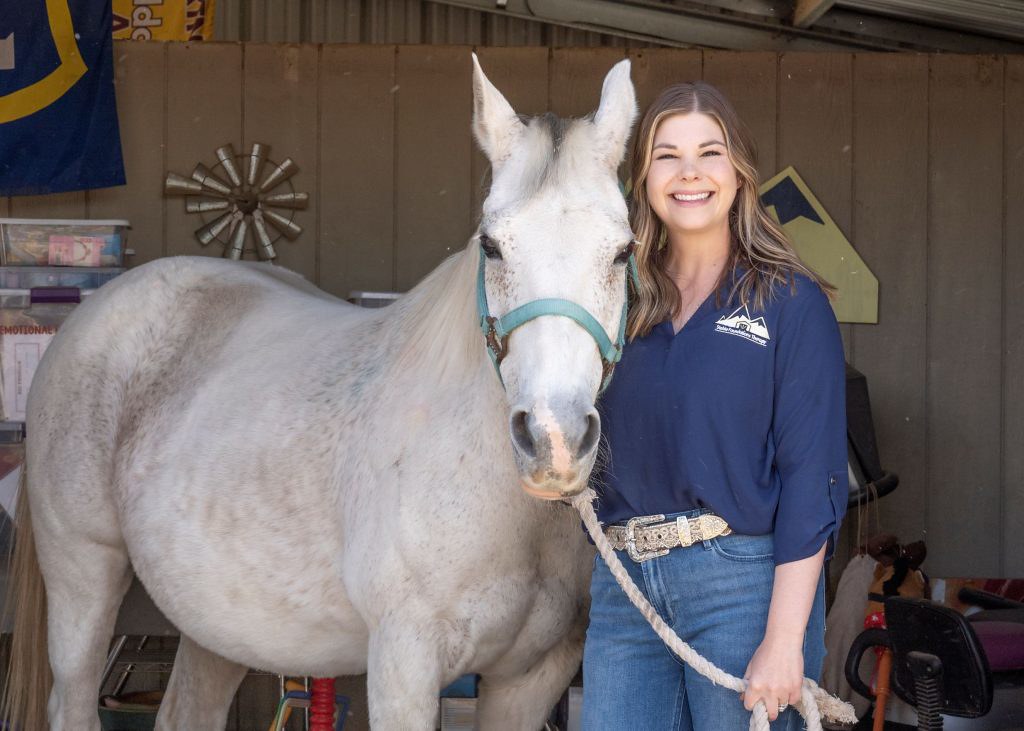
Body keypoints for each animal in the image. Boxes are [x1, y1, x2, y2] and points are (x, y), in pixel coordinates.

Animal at [1, 55, 638, 730]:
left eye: (622, 251)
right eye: (491, 245)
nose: (553, 439)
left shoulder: (531, 680)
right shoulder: (403, 666)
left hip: (219, 622)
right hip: (82, 577)